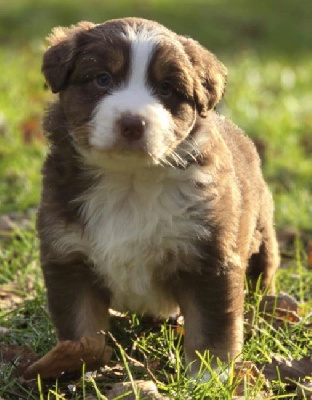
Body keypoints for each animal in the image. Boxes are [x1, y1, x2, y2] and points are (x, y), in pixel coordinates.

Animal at [37, 18, 280, 376]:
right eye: (102, 79)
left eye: (166, 88)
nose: (132, 123)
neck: (129, 181)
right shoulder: (69, 256)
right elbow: (82, 326)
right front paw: (78, 362)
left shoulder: (210, 257)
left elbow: (211, 327)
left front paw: (209, 376)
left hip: (261, 232)